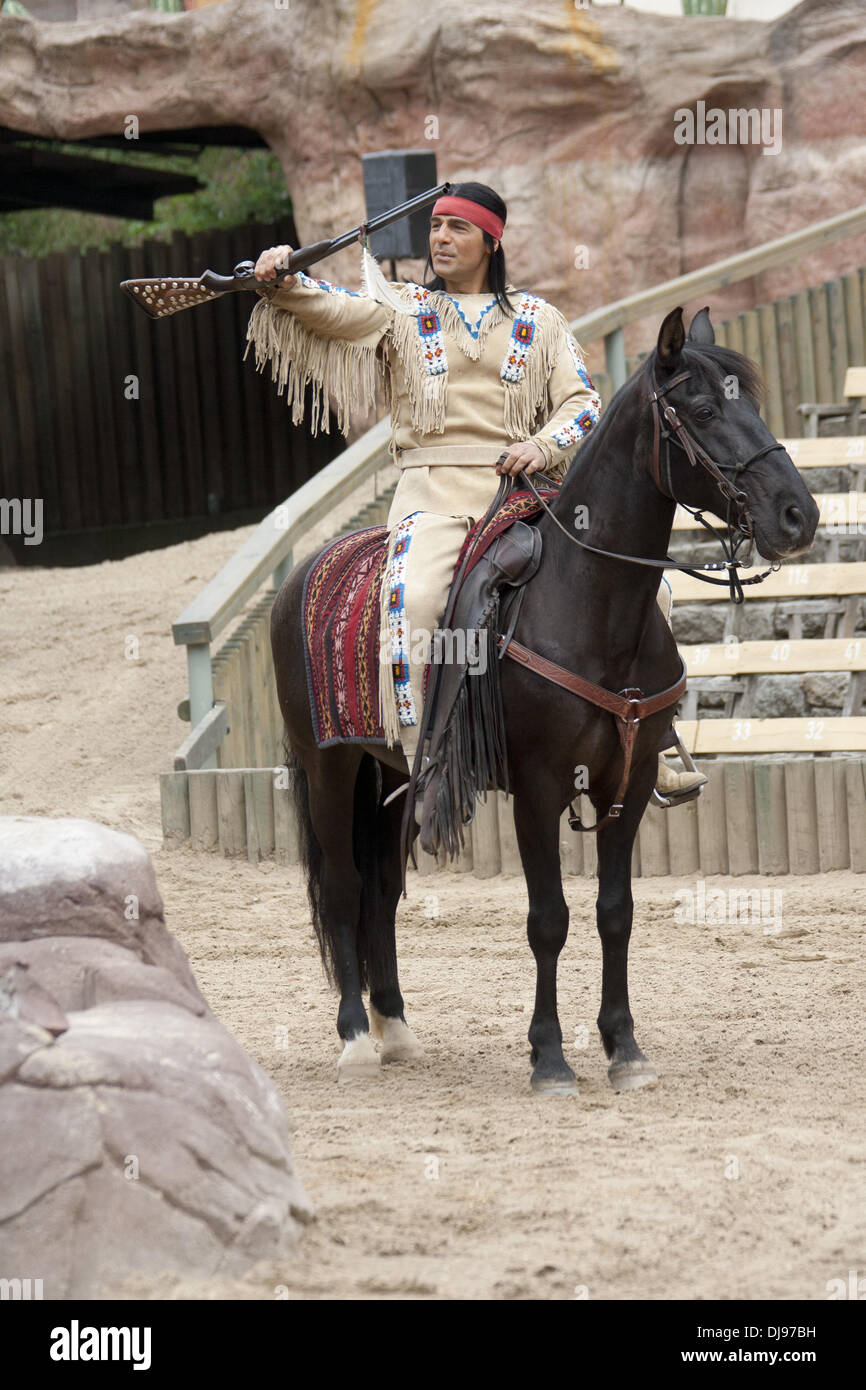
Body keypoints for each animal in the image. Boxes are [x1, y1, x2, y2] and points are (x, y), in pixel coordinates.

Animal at [271, 307, 817, 1095]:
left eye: (757, 406)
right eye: (705, 411)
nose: (798, 515)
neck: (592, 604)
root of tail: (305, 573)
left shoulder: (629, 780)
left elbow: (615, 912)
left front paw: (624, 1048)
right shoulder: (537, 787)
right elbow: (548, 919)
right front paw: (550, 1056)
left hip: (394, 775)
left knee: (382, 894)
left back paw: (396, 1027)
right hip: (329, 770)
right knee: (345, 888)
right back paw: (355, 1038)